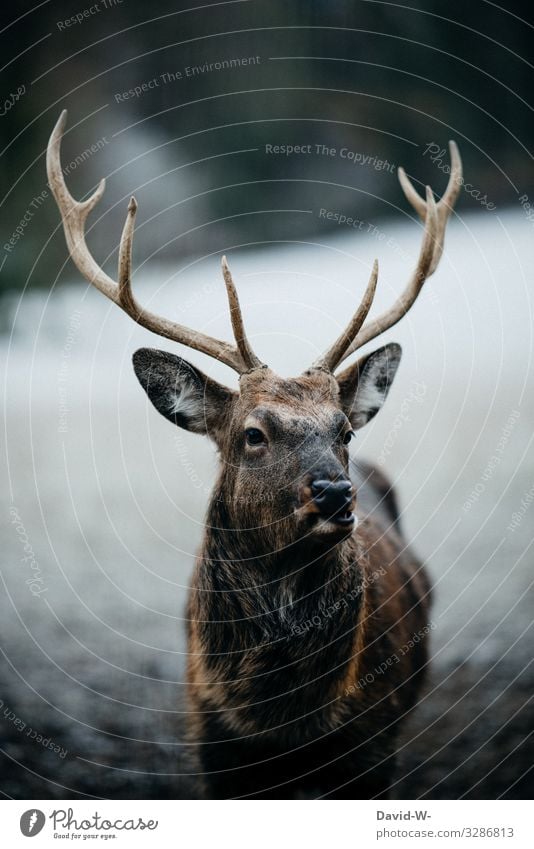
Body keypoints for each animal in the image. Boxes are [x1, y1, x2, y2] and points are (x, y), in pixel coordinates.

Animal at [48, 111, 462, 796]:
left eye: (344, 431)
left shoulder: (375, 743)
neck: (282, 721)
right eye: (253, 433)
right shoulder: (211, 743)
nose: (334, 492)